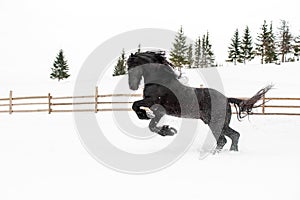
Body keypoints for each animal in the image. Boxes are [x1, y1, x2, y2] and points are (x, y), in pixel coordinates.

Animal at [126, 50, 272, 151]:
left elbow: (135, 105)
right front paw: (168, 130)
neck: (160, 81)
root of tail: (226, 99)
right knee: (233, 136)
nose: (132, 86)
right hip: (218, 123)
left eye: (132, 66)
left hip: (216, 122)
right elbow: (152, 125)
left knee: (223, 140)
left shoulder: (153, 102)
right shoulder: (160, 111)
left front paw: (146, 117)